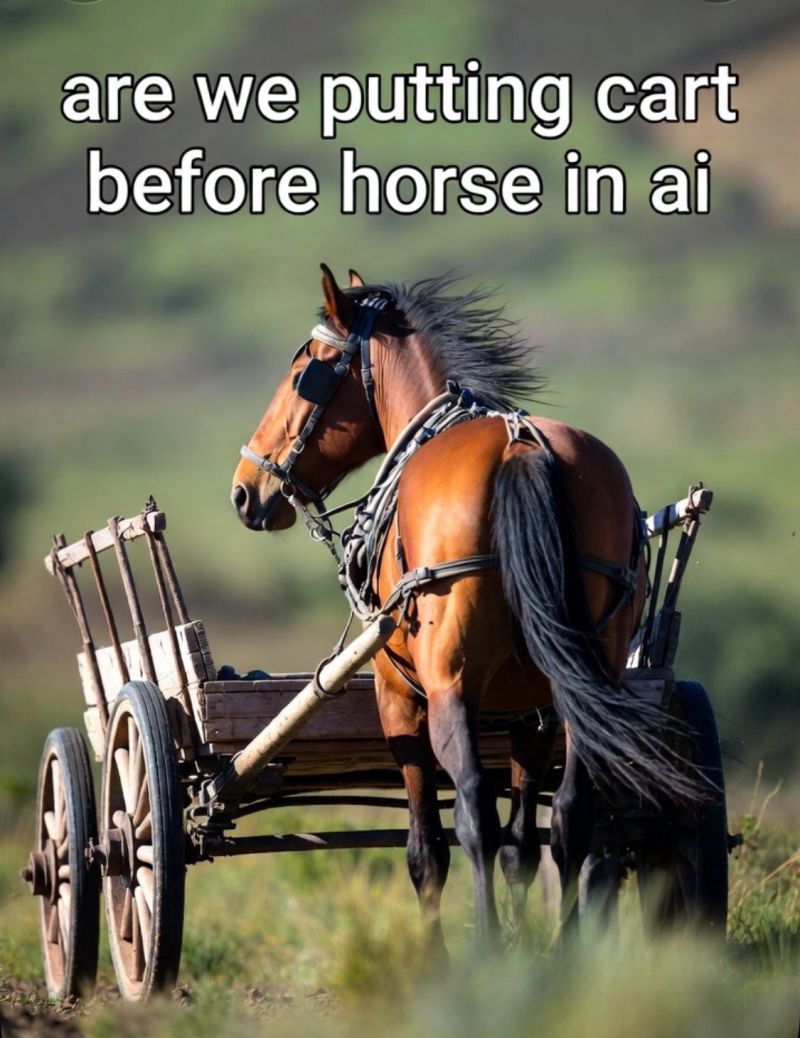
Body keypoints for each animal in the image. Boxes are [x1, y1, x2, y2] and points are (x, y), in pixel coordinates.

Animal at [231, 265, 694, 945]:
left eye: (302, 375)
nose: (245, 491)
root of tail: (521, 446)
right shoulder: (531, 713)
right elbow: (524, 846)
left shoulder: (398, 698)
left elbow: (428, 849)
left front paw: (446, 952)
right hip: (586, 677)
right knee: (572, 813)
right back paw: (566, 946)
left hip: (448, 685)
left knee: (473, 809)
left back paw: (484, 949)